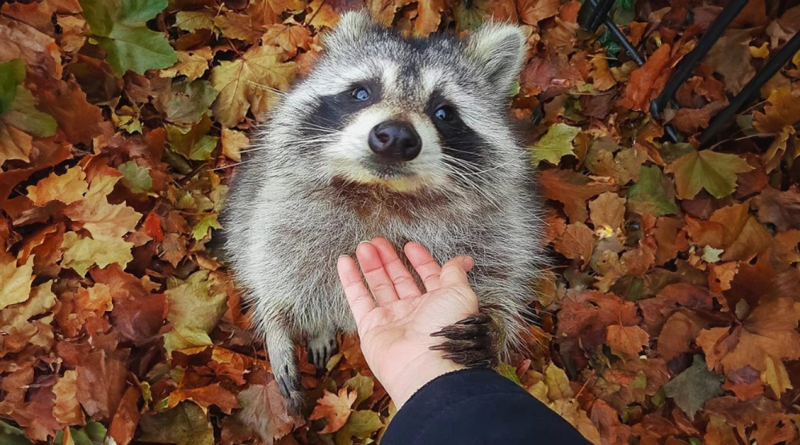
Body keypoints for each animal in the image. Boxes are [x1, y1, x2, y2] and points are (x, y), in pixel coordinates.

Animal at [222, 11, 548, 412]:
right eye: (362, 92)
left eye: (444, 112)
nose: (395, 136)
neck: (382, 195)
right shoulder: (275, 205)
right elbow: (268, 265)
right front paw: (276, 322)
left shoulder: (503, 225)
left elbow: (502, 275)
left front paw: (496, 325)